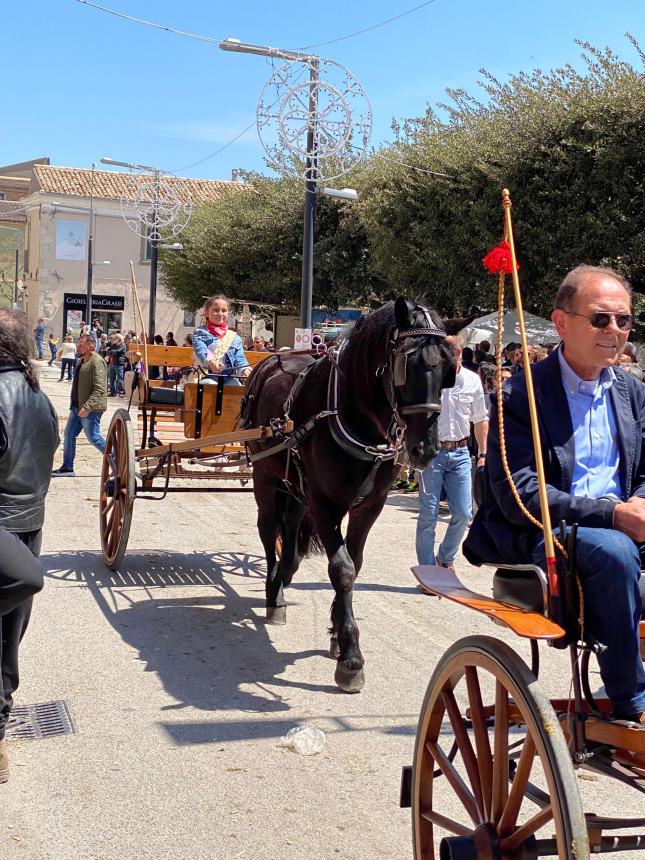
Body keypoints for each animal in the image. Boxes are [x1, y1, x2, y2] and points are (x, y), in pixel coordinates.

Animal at [242, 298, 472, 692]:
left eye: (448, 371)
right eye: (405, 366)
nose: (425, 449)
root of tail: (272, 361)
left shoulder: (369, 506)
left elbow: (356, 562)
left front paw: (337, 632)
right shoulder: (325, 504)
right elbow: (343, 569)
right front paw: (350, 654)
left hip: (295, 488)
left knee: (290, 533)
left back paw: (284, 578)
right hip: (266, 477)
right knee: (269, 529)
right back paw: (274, 593)